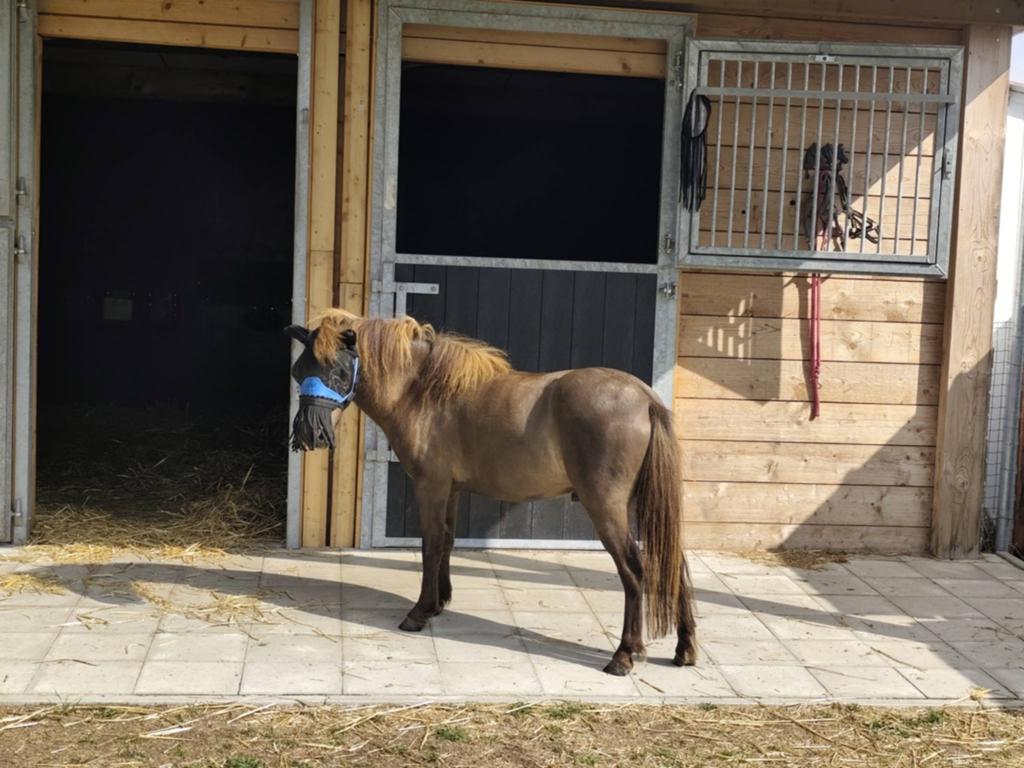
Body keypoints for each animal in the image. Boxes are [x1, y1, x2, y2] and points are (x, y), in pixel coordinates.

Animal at [285, 310, 696, 675]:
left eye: (339, 372)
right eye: (298, 372)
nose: (310, 434)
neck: (424, 393)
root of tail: (645, 398)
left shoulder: (430, 486)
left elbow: (431, 544)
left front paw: (419, 612)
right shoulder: (451, 490)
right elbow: (446, 542)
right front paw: (440, 602)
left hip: (607, 507)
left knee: (634, 570)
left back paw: (625, 655)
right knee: (672, 562)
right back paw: (685, 648)